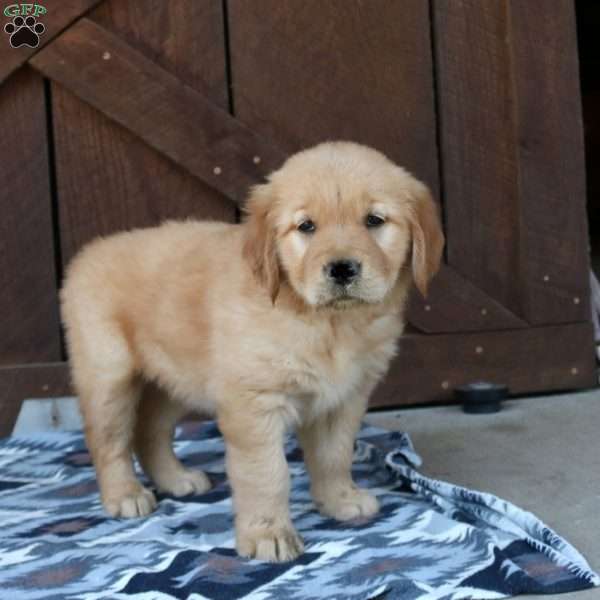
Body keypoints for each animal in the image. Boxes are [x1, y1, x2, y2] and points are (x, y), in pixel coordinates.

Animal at [62, 141, 446, 564]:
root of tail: (87, 255)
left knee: (150, 430)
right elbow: (266, 473)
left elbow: (335, 454)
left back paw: (177, 479)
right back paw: (124, 494)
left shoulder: (342, 399)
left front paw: (339, 500)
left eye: (374, 220)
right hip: (109, 375)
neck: (328, 324)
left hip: (174, 379)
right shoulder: (254, 403)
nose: (342, 269)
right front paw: (268, 534)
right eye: (306, 226)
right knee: (108, 439)